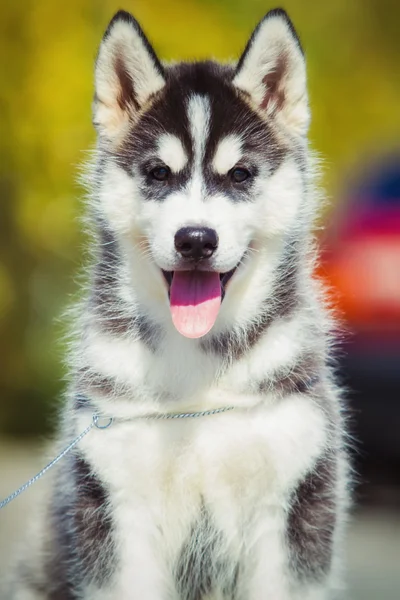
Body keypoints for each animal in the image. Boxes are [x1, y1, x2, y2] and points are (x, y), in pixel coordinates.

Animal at [7, 9, 348, 600]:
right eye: (158, 173)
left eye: (240, 174)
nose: (195, 239)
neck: (200, 374)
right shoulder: (117, 510)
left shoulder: (292, 509)